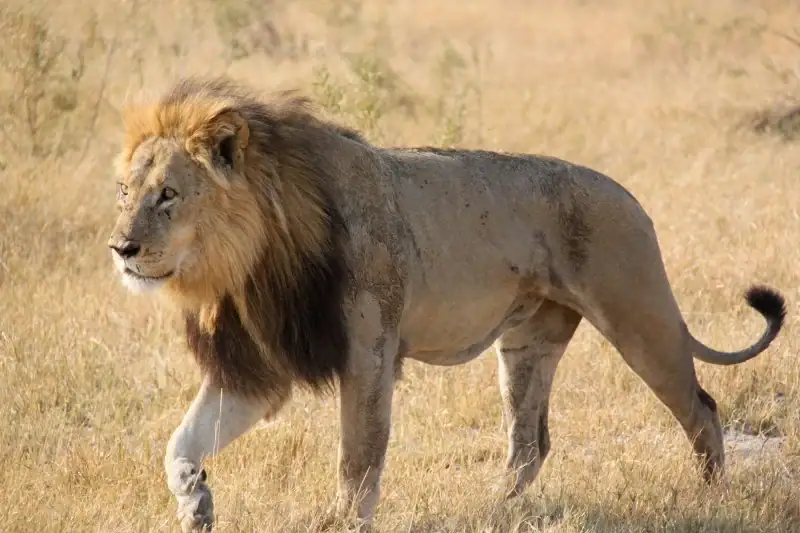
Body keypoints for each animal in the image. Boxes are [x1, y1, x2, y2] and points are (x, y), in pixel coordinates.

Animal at [107, 75, 786, 532]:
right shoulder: (258, 366)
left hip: (640, 316)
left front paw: (342, 521)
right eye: (122, 191)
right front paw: (195, 503)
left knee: (700, 409)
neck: (250, 261)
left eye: (168, 194)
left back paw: (711, 500)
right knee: (530, 442)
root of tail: (632, 197)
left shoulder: (369, 354)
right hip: (527, 345)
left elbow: (358, 457)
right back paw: (492, 510)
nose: (120, 248)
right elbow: (181, 443)